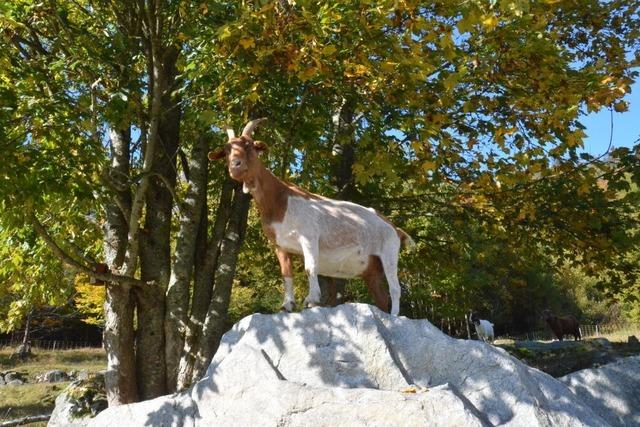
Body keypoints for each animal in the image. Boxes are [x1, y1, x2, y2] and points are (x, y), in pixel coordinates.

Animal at [208, 118, 412, 316]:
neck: (281, 201)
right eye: (226, 151)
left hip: (389, 253)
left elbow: (310, 267)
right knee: (382, 297)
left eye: (249, 145)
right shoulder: (280, 246)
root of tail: (394, 228)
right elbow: (286, 273)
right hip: (370, 269)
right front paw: (286, 305)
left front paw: (312, 300)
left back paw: (395, 316)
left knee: (395, 289)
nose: (235, 167)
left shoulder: (309, 237)